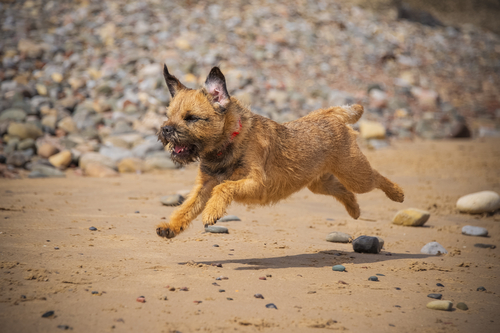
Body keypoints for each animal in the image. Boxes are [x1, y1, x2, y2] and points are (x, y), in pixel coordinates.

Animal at [154, 65, 404, 237]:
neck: (228, 142)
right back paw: (354, 210)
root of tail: (330, 114)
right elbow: (185, 208)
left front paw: (212, 211)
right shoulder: (203, 187)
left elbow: (224, 187)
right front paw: (171, 226)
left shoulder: (257, 182)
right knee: (344, 191)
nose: (165, 129)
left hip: (355, 173)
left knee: (375, 177)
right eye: (169, 115)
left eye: (191, 118)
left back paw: (397, 193)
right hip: (319, 183)